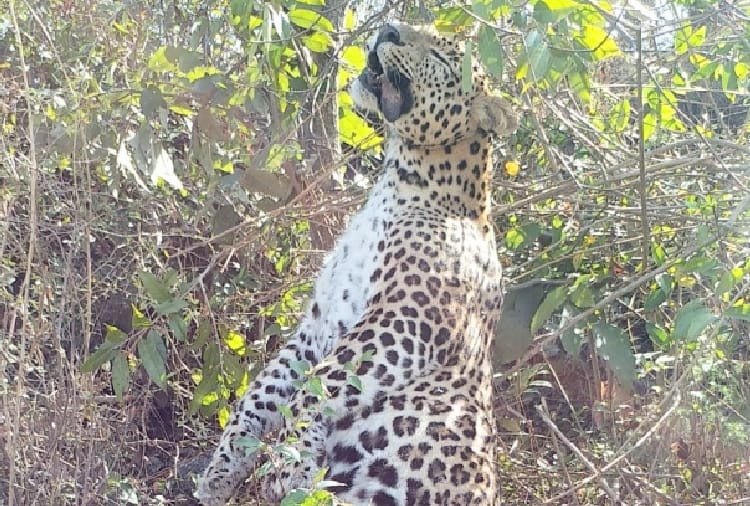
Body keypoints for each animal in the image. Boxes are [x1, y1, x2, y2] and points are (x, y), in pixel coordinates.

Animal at [195, 22, 517, 506]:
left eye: (442, 59)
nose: (389, 29)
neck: (399, 177)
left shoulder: (402, 318)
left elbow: (321, 384)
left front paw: (294, 463)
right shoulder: (317, 323)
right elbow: (264, 393)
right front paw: (220, 475)